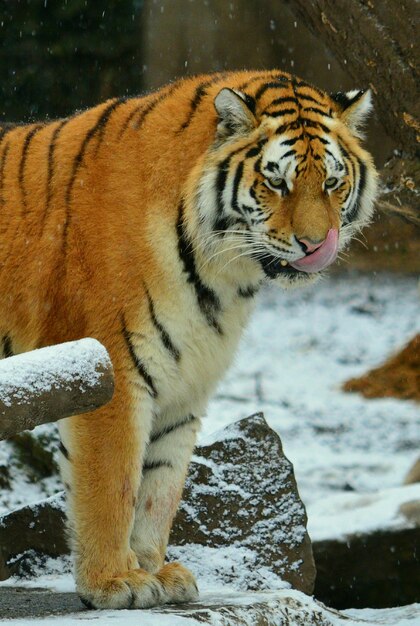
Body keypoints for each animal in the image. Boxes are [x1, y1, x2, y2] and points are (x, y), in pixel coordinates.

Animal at [0, 70, 378, 608]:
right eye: (276, 181)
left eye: (331, 181)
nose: (316, 245)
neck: (220, 274)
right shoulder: (110, 371)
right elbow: (112, 484)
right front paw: (112, 582)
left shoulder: (185, 382)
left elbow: (159, 487)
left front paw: (154, 571)